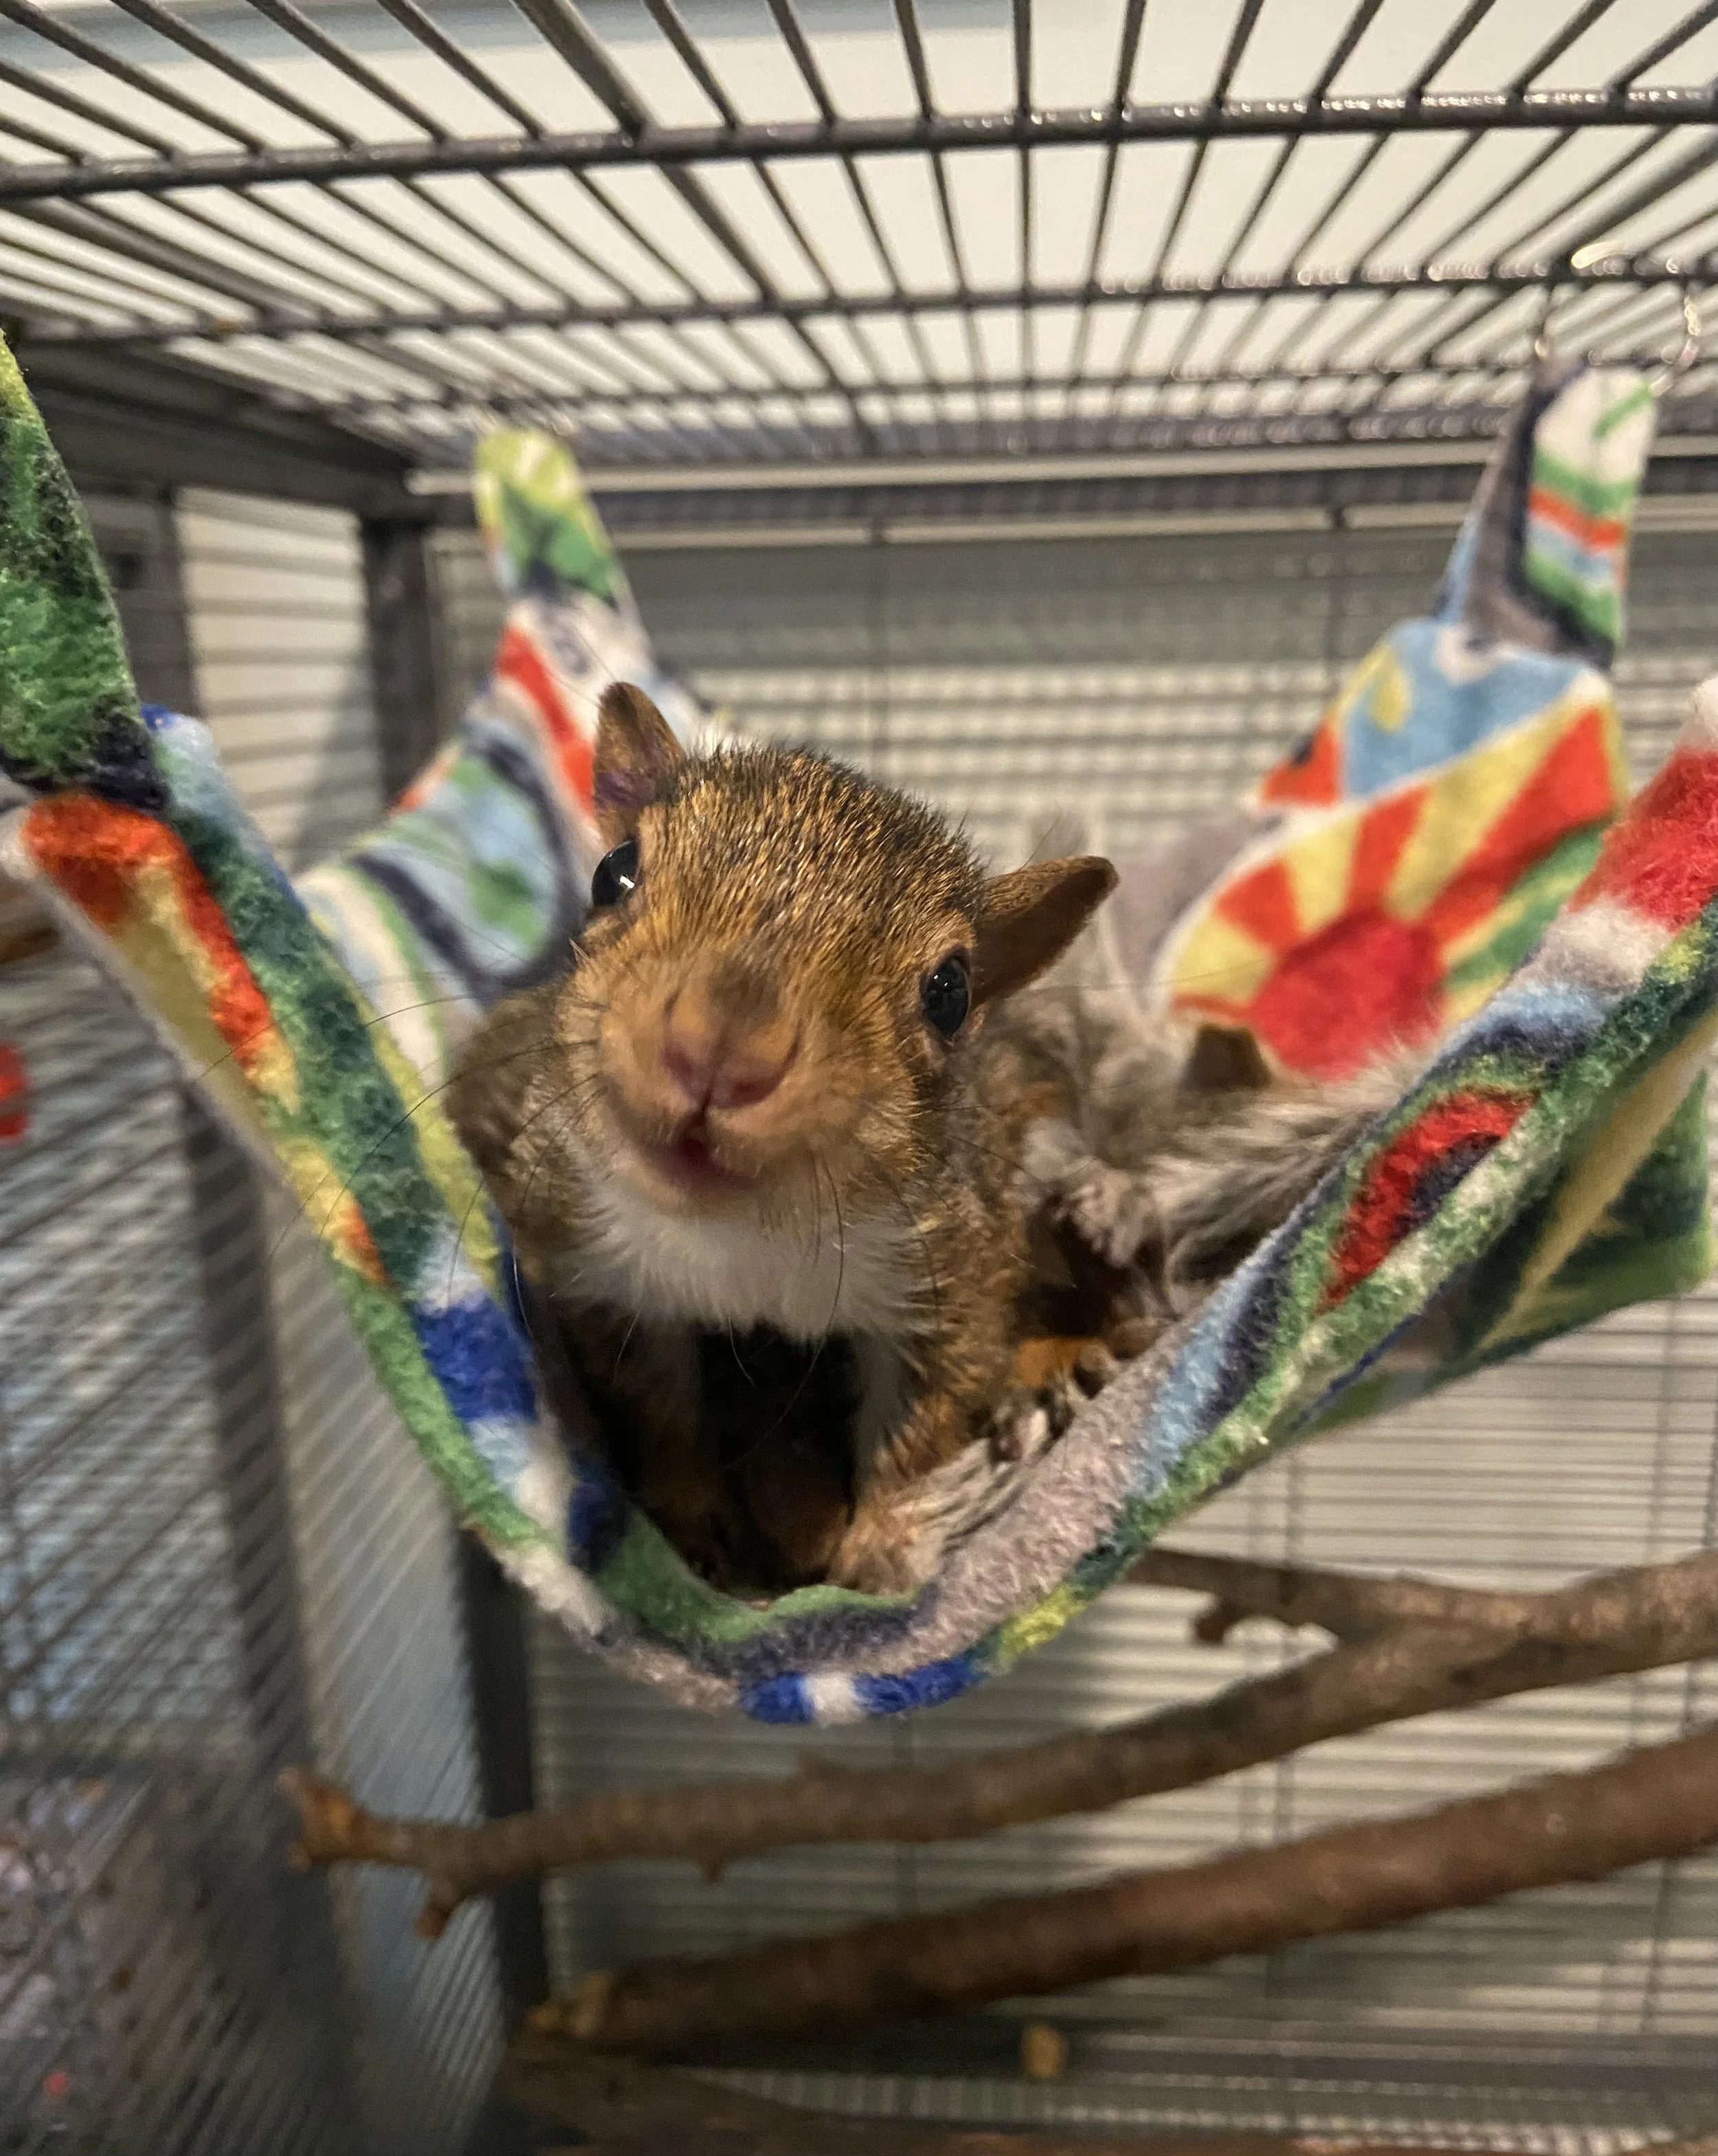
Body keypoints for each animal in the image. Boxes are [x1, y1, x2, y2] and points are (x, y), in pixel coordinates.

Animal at [452, 683, 1413, 1597]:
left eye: (949, 991)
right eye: (614, 873)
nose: (720, 1050)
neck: (743, 1237)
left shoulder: (953, 1262)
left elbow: (929, 1408)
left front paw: (883, 1540)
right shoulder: (599, 1271)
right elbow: (660, 1416)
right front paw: (691, 1524)